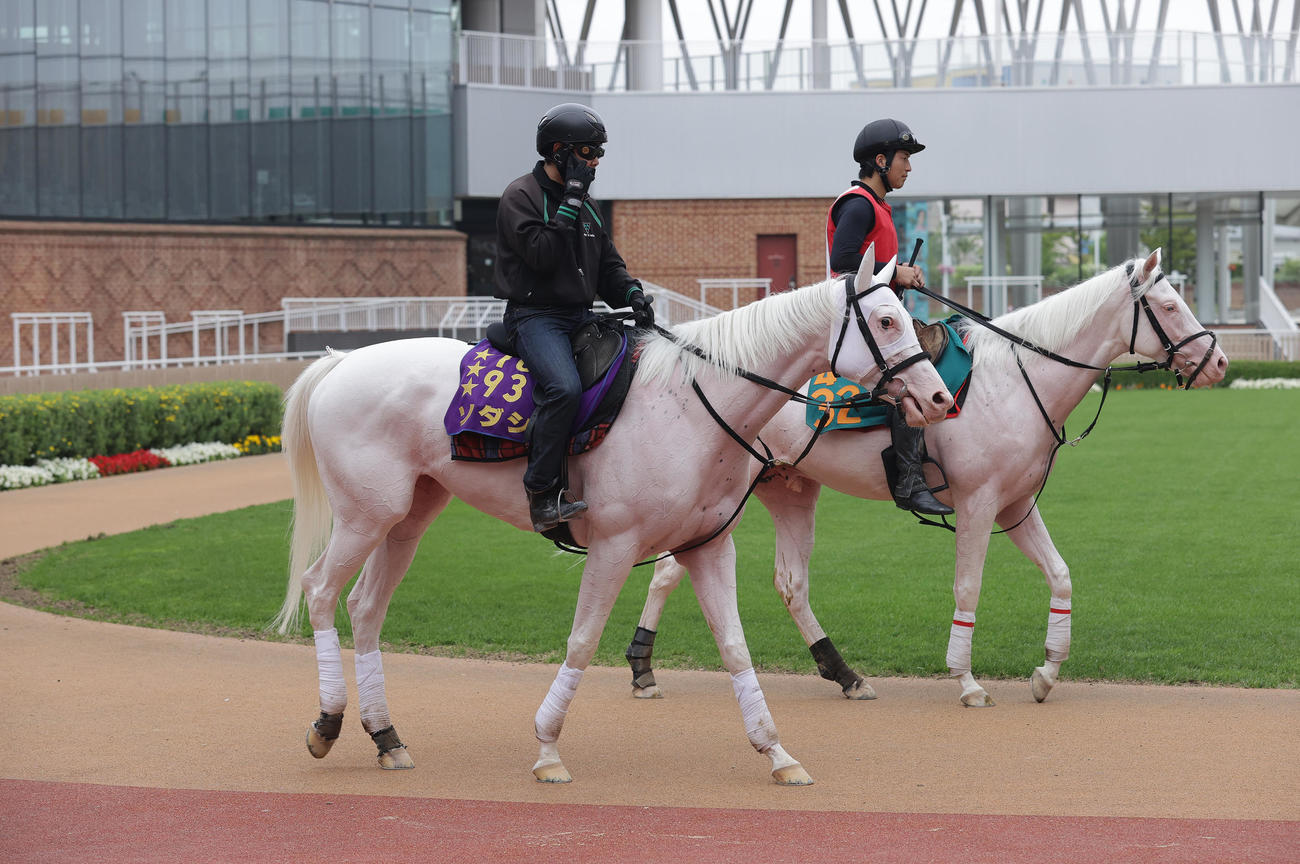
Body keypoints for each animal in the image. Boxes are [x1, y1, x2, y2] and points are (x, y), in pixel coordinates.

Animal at [271, 250, 955, 787]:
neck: (694, 404)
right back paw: (329, 721)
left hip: (409, 518)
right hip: (366, 516)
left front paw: (776, 752)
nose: (939, 398)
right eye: (887, 319)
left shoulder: (709, 546)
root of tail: (340, 361)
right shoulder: (614, 547)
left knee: (364, 608)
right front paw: (548, 748)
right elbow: (582, 638)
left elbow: (735, 648)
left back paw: (385, 735)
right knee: (320, 591)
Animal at [625, 249, 1229, 708]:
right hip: (723, 505)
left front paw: (1047, 671)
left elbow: (1060, 577)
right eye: (1170, 305)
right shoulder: (979, 505)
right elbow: (969, 586)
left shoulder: (1018, 507)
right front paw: (965, 679)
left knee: (789, 584)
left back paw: (843, 674)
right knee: (668, 574)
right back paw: (641, 667)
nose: (1220, 363)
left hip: (788, 492)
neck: (1016, 378)